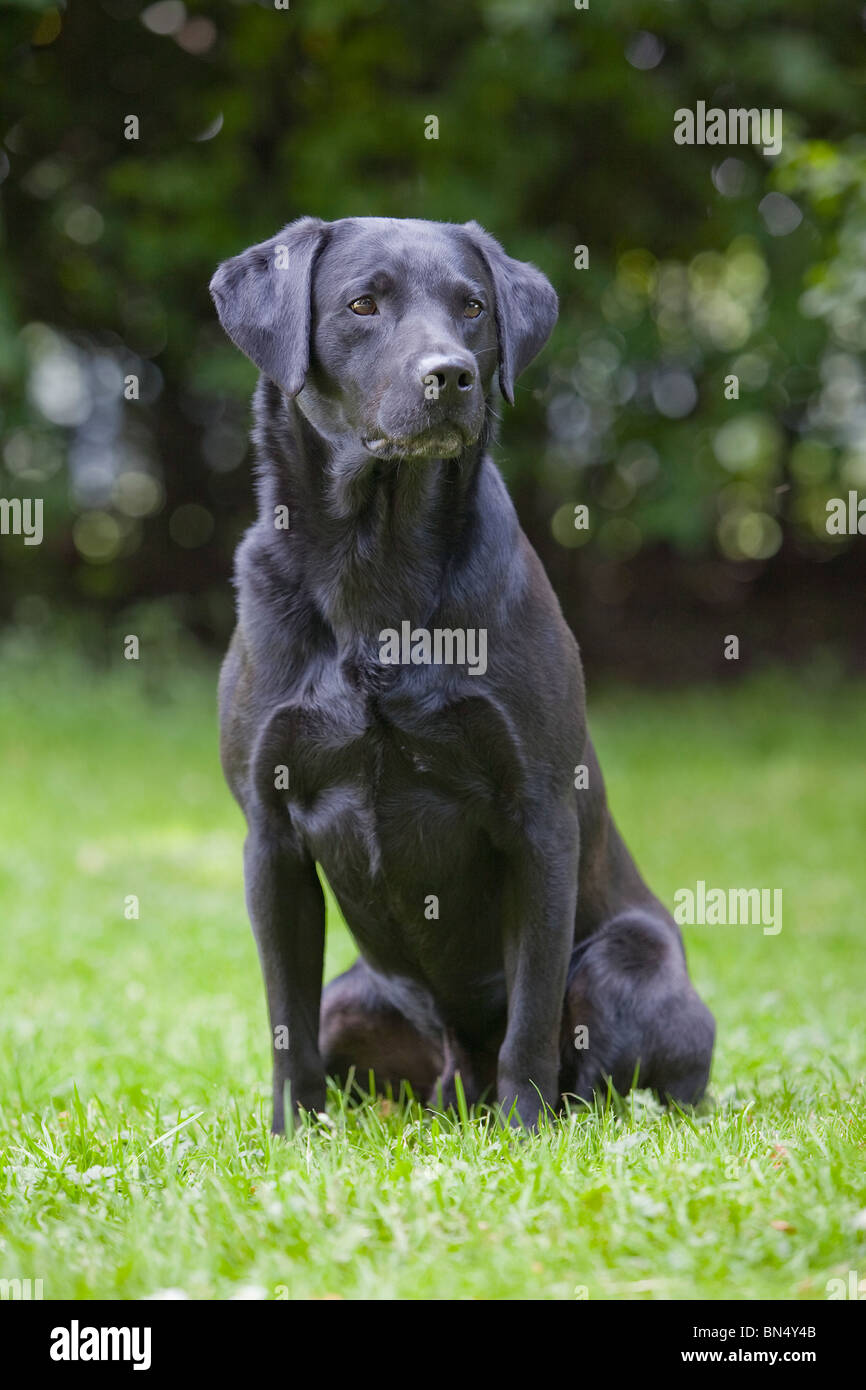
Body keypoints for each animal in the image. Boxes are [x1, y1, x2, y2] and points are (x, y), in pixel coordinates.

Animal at [209, 214, 717, 1128]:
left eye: (472, 306)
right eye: (362, 304)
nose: (451, 375)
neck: (376, 563)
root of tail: (456, 1078)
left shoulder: (538, 817)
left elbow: (532, 1015)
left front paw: (525, 1134)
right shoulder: (270, 836)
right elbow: (284, 1022)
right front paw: (292, 1135)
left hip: (627, 962)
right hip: (358, 996)